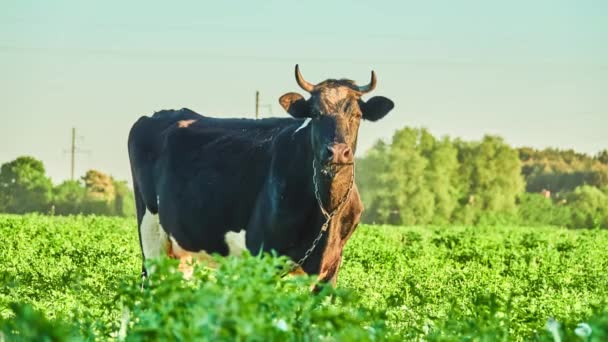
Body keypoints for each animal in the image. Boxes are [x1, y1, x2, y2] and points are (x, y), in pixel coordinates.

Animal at [127, 65, 394, 284]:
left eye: (357, 115)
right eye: (316, 114)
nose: (337, 152)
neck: (327, 210)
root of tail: (161, 114)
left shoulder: (330, 265)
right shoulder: (261, 254)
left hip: (182, 250)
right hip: (151, 236)